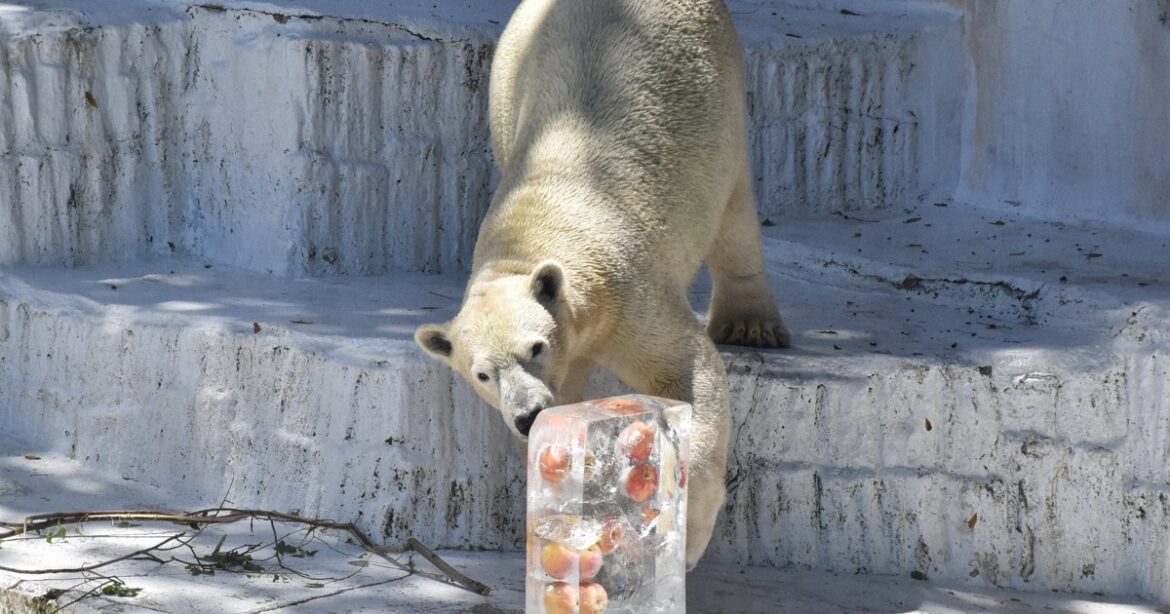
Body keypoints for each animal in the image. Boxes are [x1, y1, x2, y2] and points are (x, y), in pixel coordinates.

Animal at [414, 0, 789, 569]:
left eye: (536, 347)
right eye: (482, 375)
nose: (527, 414)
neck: (536, 227)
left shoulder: (625, 292)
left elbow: (685, 370)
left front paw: (683, 535)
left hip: (721, 98)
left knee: (735, 212)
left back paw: (750, 323)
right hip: (509, 69)